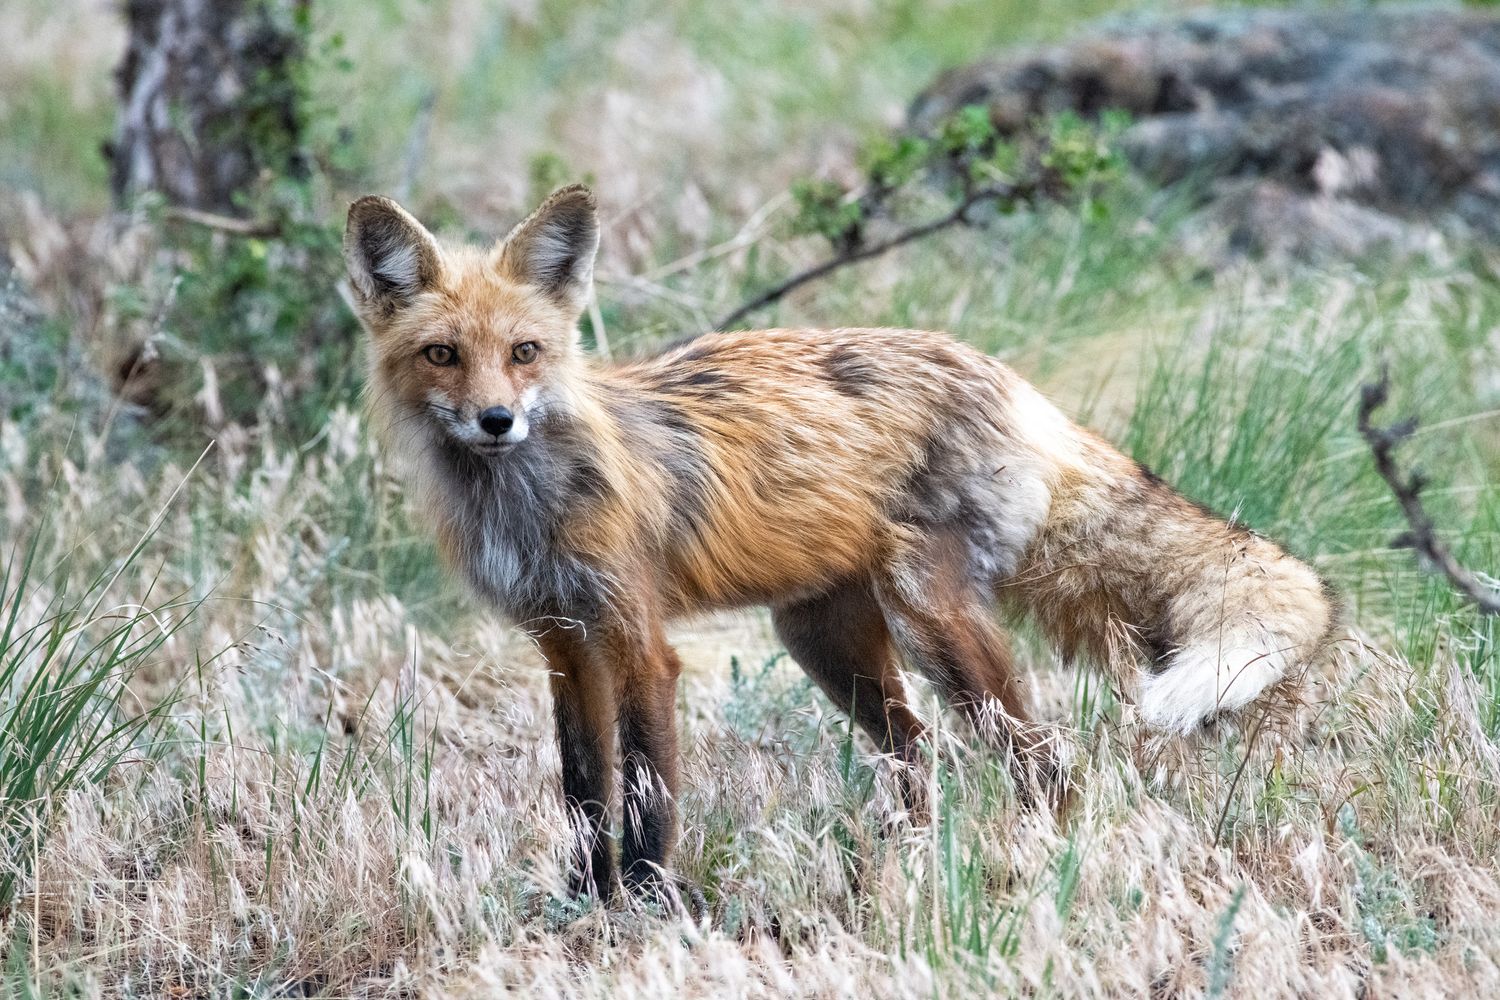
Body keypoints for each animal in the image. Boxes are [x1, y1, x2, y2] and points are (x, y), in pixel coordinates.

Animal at [343, 184, 1338, 902]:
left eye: (524, 352)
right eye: (441, 355)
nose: (496, 421)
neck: (529, 507)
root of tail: (1004, 375)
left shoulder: (637, 640)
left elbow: (648, 794)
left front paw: (650, 912)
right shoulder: (563, 643)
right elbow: (586, 794)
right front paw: (583, 908)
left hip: (933, 629)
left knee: (1046, 764)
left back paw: (1038, 863)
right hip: (828, 646)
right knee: (921, 757)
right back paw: (902, 869)